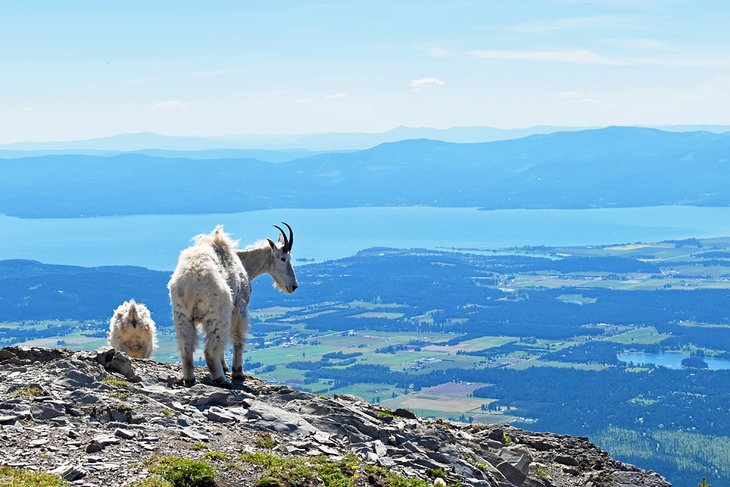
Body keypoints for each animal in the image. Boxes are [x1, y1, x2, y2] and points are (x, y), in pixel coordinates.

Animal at [167, 225, 296, 388]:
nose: (294, 286)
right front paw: (238, 372)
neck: (243, 263)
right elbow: (238, 338)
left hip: (182, 315)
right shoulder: (239, 306)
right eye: (284, 258)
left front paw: (224, 366)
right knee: (210, 350)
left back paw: (190, 379)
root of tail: (190, 281)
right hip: (218, 313)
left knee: (186, 346)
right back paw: (221, 379)